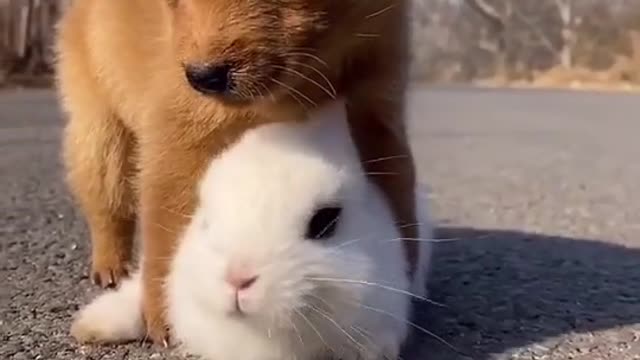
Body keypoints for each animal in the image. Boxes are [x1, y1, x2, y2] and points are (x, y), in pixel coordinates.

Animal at [53, 0, 416, 344]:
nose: (203, 76)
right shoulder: (177, 129)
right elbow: (165, 229)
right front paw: (166, 317)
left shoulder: (377, 103)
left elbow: (398, 197)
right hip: (99, 124)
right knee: (105, 197)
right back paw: (110, 264)